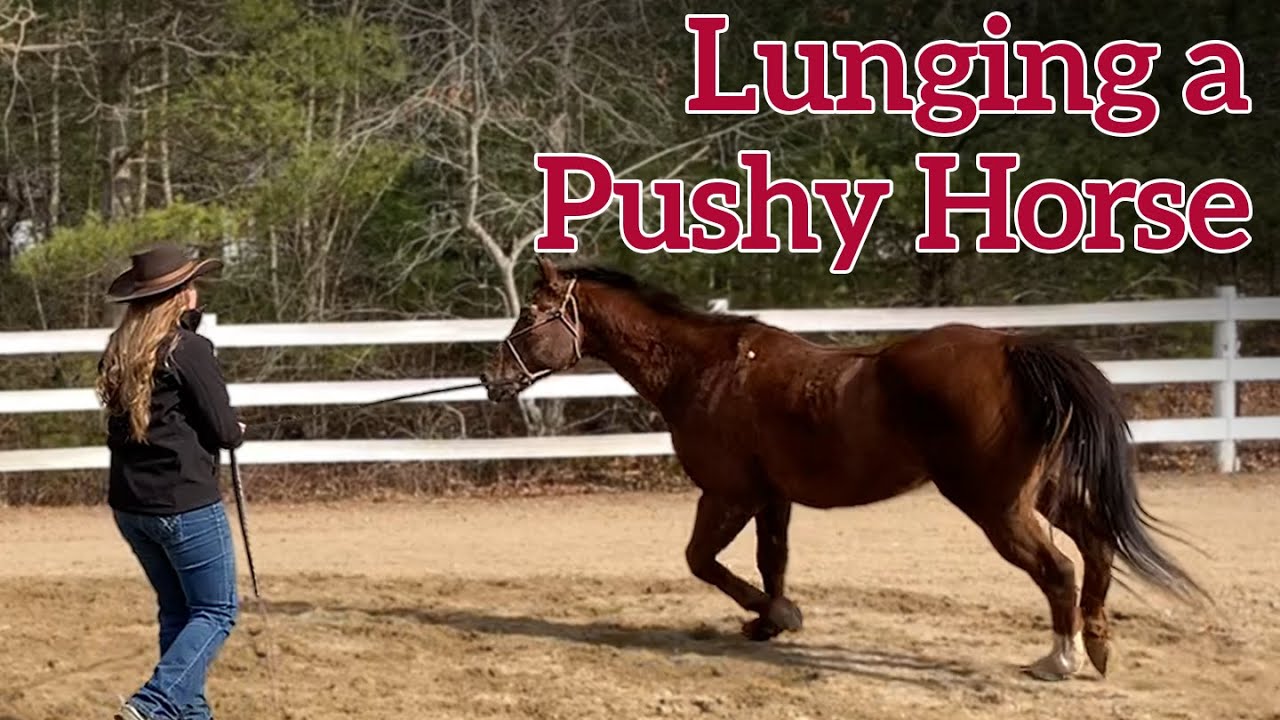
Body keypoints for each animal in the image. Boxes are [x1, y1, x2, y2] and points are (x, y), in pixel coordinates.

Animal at [479, 256, 1208, 681]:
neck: (705, 369)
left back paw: (1058, 659)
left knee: (1057, 567)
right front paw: (769, 620)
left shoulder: (727, 493)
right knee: (1096, 544)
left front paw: (781, 616)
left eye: (529, 314)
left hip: (995, 504)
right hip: (1043, 491)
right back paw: (1098, 642)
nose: (491, 379)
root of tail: (1010, 347)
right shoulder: (770, 497)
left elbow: (702, 561)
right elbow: (770, 561)